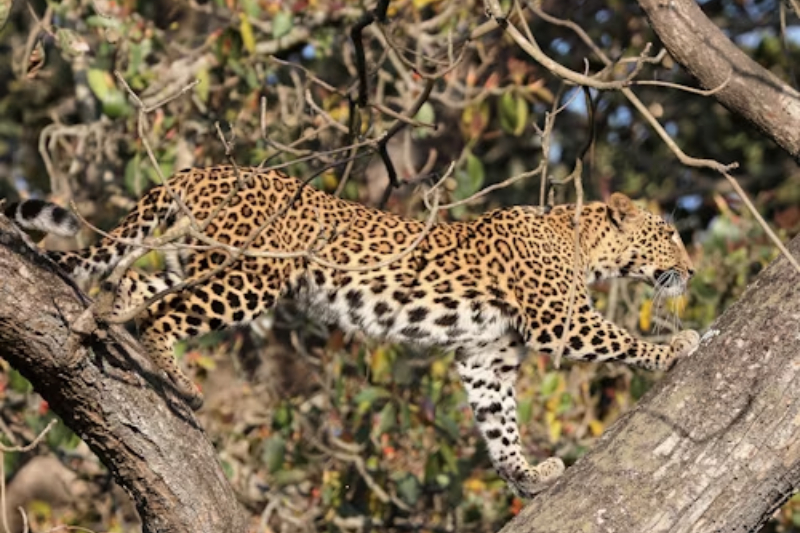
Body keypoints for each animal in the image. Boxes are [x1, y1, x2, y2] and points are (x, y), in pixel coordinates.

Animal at [4, 165, 700, 498]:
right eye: (668, 234)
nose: (692, 271)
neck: (585, 244)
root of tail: (202, 170)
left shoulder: (486, 354)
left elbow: (498, 421)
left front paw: (526, 474)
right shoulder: (561, 319)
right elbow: (619, 339)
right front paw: (677, 346)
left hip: (196, 261)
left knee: (134, 286)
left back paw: (99, 322)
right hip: (251, 274)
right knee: (161, 314)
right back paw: (180, 381)